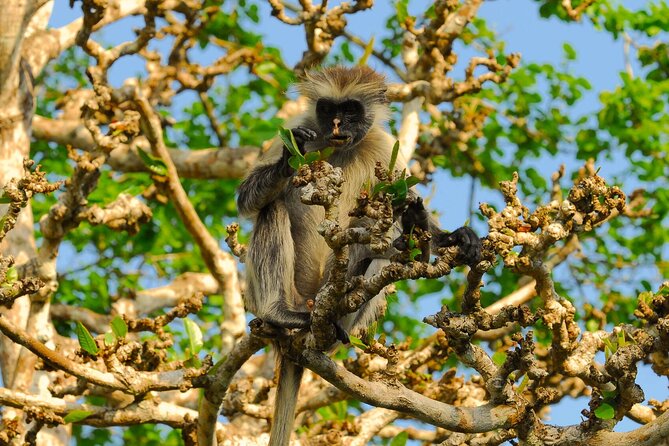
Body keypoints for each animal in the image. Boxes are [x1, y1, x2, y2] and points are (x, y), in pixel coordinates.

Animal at [236, 66, 481, 446]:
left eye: (350, 110)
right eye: (328, 109)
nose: (337, 123)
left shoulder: (382, 144)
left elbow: (399, 203)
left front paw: (450, 235)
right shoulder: (298, 123)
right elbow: (246, 199)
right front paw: (288, 159)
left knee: (379, 231)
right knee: (271, 207)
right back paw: (281, 315)